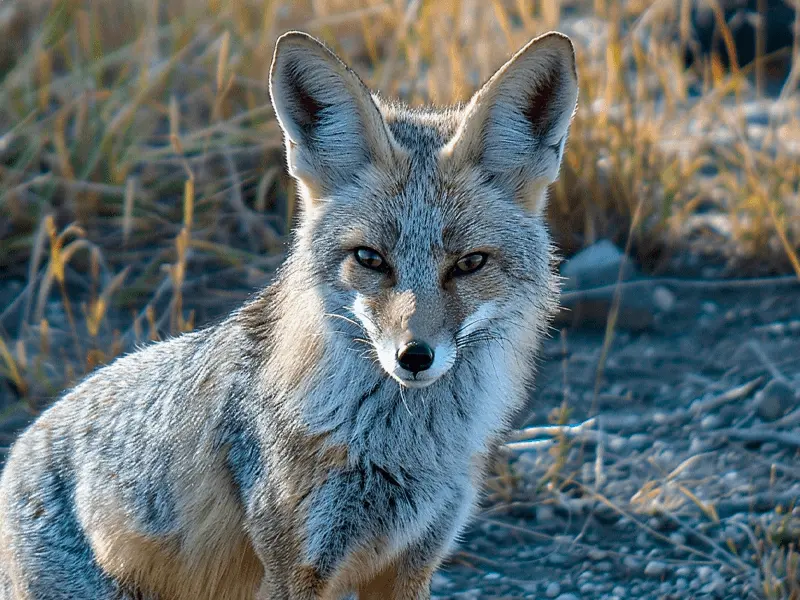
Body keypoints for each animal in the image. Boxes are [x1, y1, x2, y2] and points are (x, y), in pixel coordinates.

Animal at [0, 30, 578, 600]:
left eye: (470, 263)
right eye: (370, 259)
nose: (414, 356)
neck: (405, 451)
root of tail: (19, 449)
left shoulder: (413, 562)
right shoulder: (296, 565)